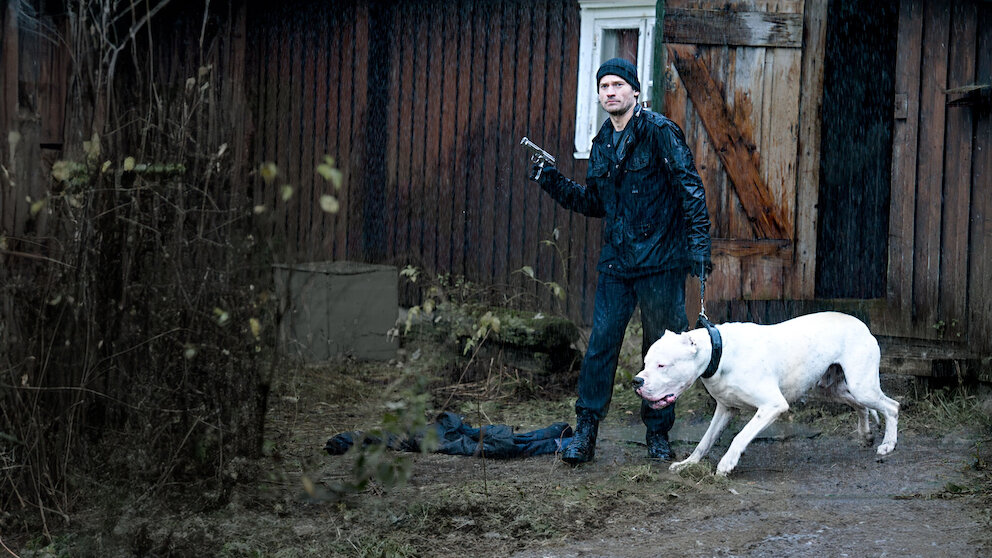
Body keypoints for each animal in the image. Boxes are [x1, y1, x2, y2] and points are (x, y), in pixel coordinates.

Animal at [632, 311, 899, 476]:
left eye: (662, 365)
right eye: (645, 363)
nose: (637, 381)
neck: (719, 352)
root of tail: (861, 324)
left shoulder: (772, 406)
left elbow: (740, 436)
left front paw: (727, 463)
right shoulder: (725, 408)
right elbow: (705, 441)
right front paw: (688, 464)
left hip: (862, 386)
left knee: (891, 407)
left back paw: (887, 445)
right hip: (831, 389)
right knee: (861, 405)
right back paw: (866, 435)